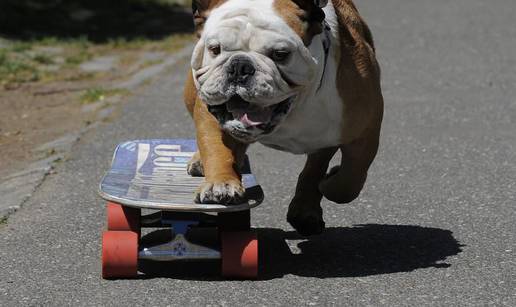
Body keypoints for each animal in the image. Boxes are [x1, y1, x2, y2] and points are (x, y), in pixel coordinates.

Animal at [183, 0, 380, 236]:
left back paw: (305, 209)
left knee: (317, 165)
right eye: (215, 49)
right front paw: (221, 184)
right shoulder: (210, 109)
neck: (295, 106)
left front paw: (330, 183)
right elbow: (216, 148)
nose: (239, 66)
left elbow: (351, 178)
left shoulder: (365, 129)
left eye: (280, 54)